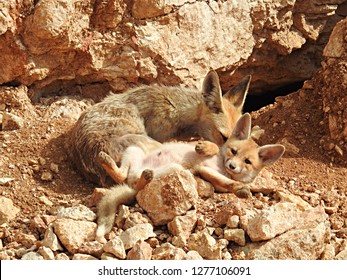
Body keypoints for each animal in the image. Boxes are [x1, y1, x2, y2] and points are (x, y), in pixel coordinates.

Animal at [66, 70, 250, 188]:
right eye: (223, 136)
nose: (228, 162)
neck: (178, 109)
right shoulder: (162, 137)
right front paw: (208, 148)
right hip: (147, 145)